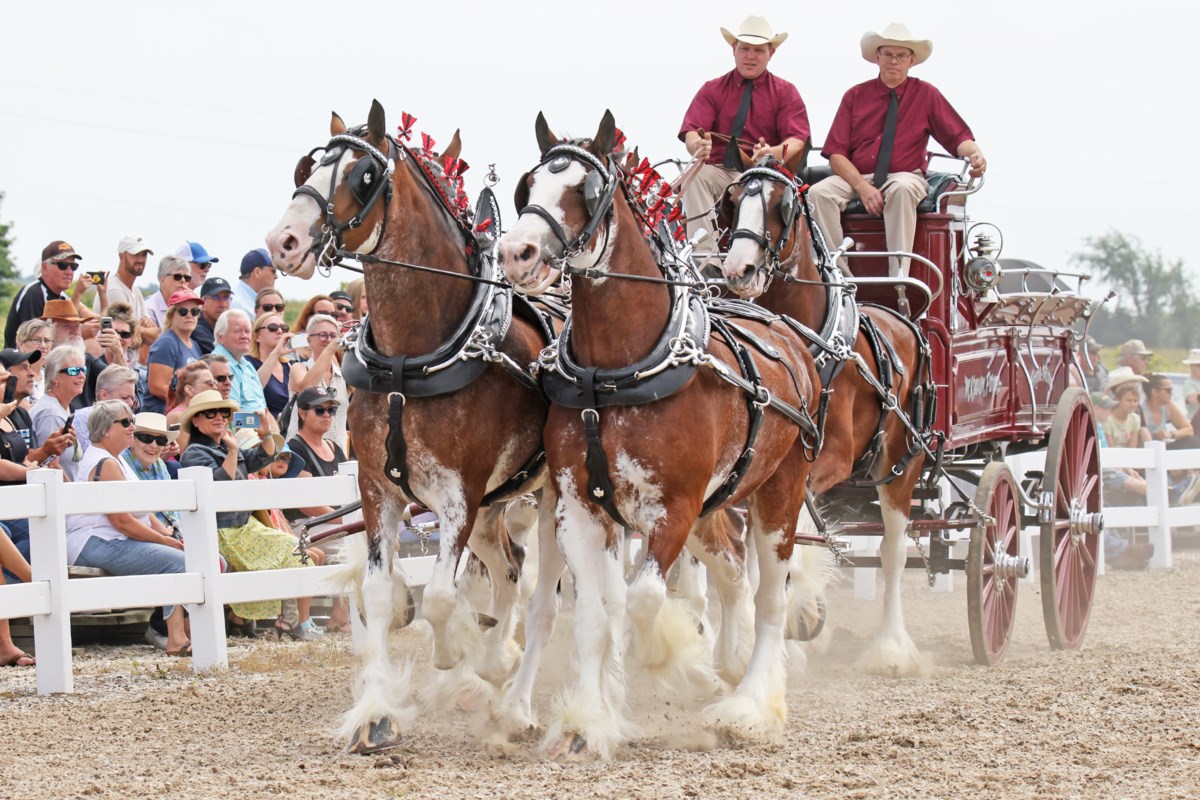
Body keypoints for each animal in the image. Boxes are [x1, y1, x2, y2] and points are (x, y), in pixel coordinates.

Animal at [265, 100, 549, 753]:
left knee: (543, 597)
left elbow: (442, 596)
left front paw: (456, 654)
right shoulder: (378, 488)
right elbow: (377, 594)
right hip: (500, 505)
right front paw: (375, 714)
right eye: (309, 166)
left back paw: (516, 698)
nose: (282, 241)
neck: (408, 359)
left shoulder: (460, 495)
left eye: (362, 175)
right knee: (510, 574)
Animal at [496, 110, 825, 758]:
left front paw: (673, 659)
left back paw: (749, 706)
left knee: (771, 598)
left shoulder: (673, 506)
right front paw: (586, 720)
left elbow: (642, 600)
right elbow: (596, 614)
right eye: (528, 186)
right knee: (732, 574)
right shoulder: (579, 507)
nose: (516, 252)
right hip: (714, 508)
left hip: (780, 494)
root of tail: (787, 329)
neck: (614, 374)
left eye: (587, 191)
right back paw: (730, 662)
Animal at [715, 151, 931, 676]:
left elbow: (794, 538)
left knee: (894, 552)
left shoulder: (829, 459)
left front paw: (799, 620)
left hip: (903, 462)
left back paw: (891, 650)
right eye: (733, 200)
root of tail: (905, 320)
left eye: (784, 204)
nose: (738, 269)